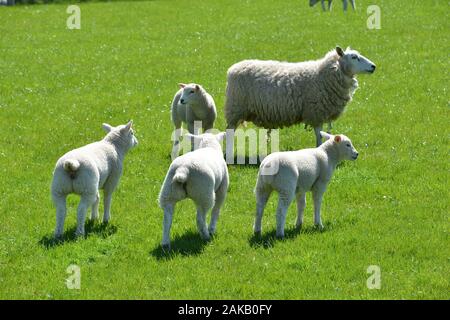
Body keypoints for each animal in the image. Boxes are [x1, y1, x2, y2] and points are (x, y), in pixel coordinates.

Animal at [225, 46, 376, 159]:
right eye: (354, 57)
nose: (373, 66)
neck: (324, 75)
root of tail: (232, 69)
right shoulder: (316, 112)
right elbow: (318, 135)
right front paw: (318, 150)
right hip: (235, 108)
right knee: (230, 132)